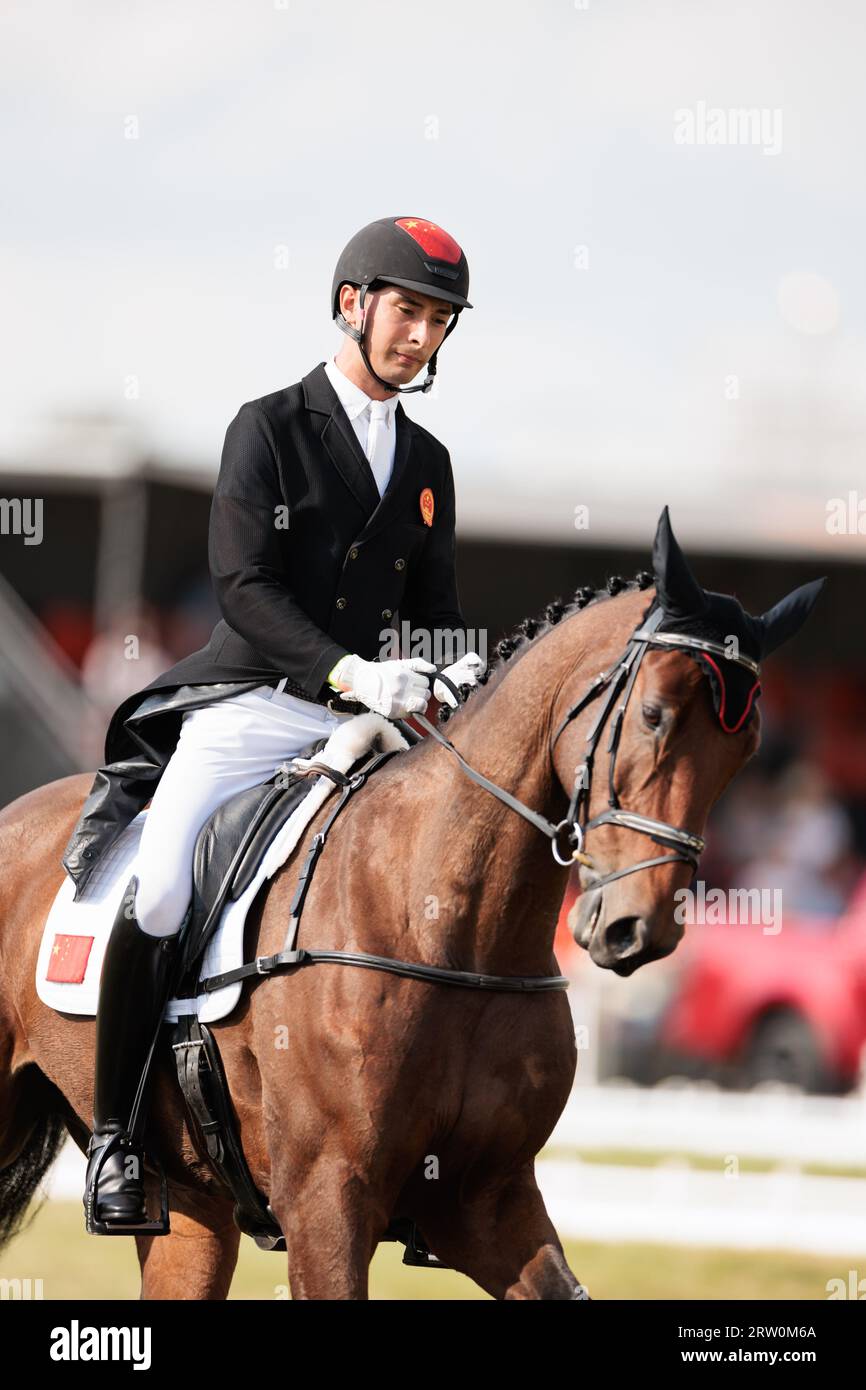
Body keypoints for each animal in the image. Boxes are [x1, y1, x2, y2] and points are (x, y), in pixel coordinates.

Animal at [0, 517, 828, 1295]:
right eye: (653, 715)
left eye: (746, 751)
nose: (637, 929)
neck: (445, 927)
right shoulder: (326, 1202)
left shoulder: (488, 1202)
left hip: (195, 1211)